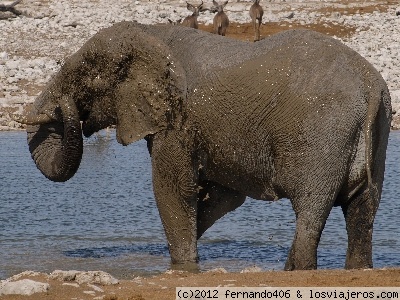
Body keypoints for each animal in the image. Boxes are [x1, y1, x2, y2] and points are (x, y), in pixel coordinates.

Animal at [14, 20, 392, 270]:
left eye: (86, 79)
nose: (69, 110)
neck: (150, 35)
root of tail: (371, 88)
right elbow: (221, 196)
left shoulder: (176, 124)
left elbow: (171, 188)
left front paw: (182, 268)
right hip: (377, 133)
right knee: (362, 211)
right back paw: (358, 269)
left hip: (321, 136)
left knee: (310, 213)